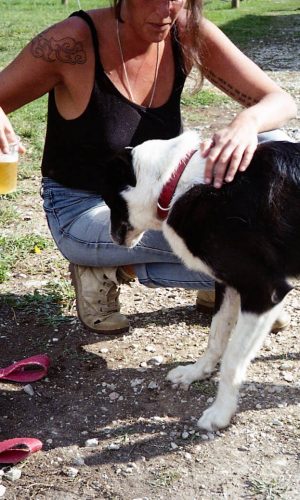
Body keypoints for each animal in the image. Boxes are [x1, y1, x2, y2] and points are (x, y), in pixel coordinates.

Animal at [102, 132, 300, 430]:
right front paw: (196, 373)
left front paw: (221, 412)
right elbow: (216, 338)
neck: (175, 182)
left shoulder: (265, 291)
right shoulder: (228, 284)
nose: (111, 238)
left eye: (106, 198)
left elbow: (232, 360)